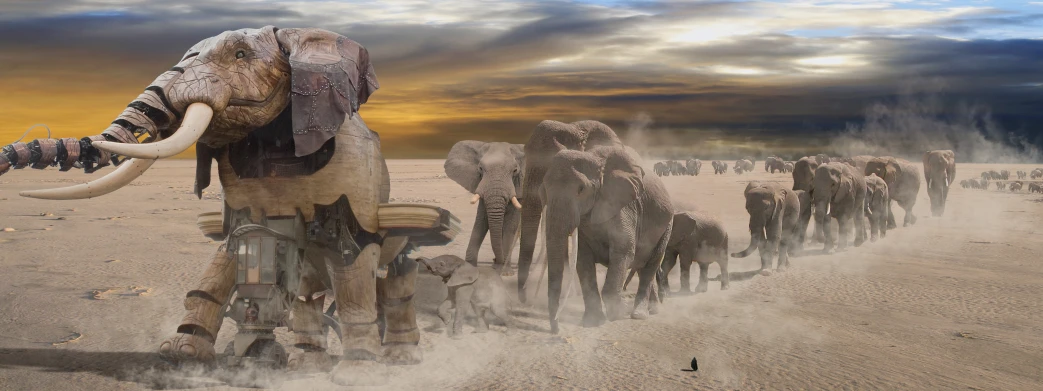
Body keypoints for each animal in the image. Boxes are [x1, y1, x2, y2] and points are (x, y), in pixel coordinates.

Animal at [444, 140, 525, 273]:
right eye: (480, 169)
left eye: (515, 170)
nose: (497, 262)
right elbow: (481, 220)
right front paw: (470, 267)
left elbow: (511, 224)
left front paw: (505, 273)